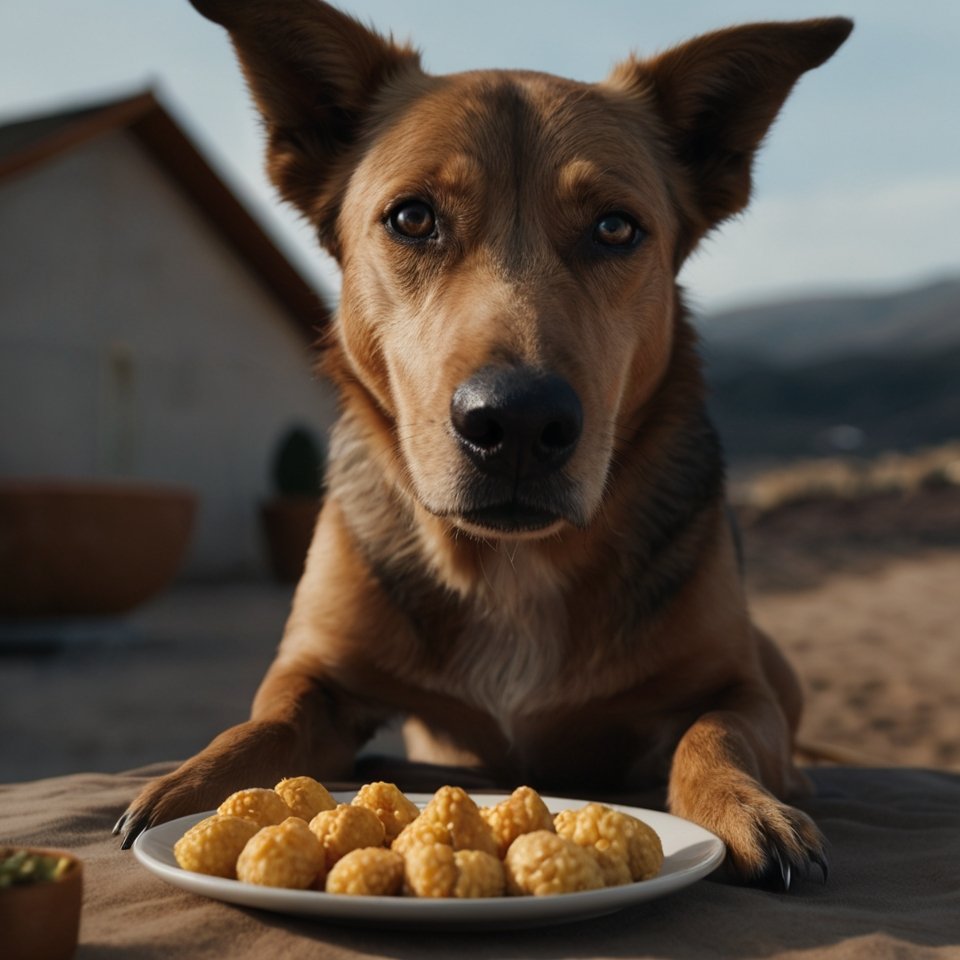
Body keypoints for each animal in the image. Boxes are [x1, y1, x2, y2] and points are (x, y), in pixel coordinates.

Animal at [116, 0, 852, 892]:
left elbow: (713, 734)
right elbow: (261, 728)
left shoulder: (738, 685)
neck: (509, 565)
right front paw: (191, 786)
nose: (521, 423)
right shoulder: (314, 673)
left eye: (616, 227)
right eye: (412, 217)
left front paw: (745, 804)